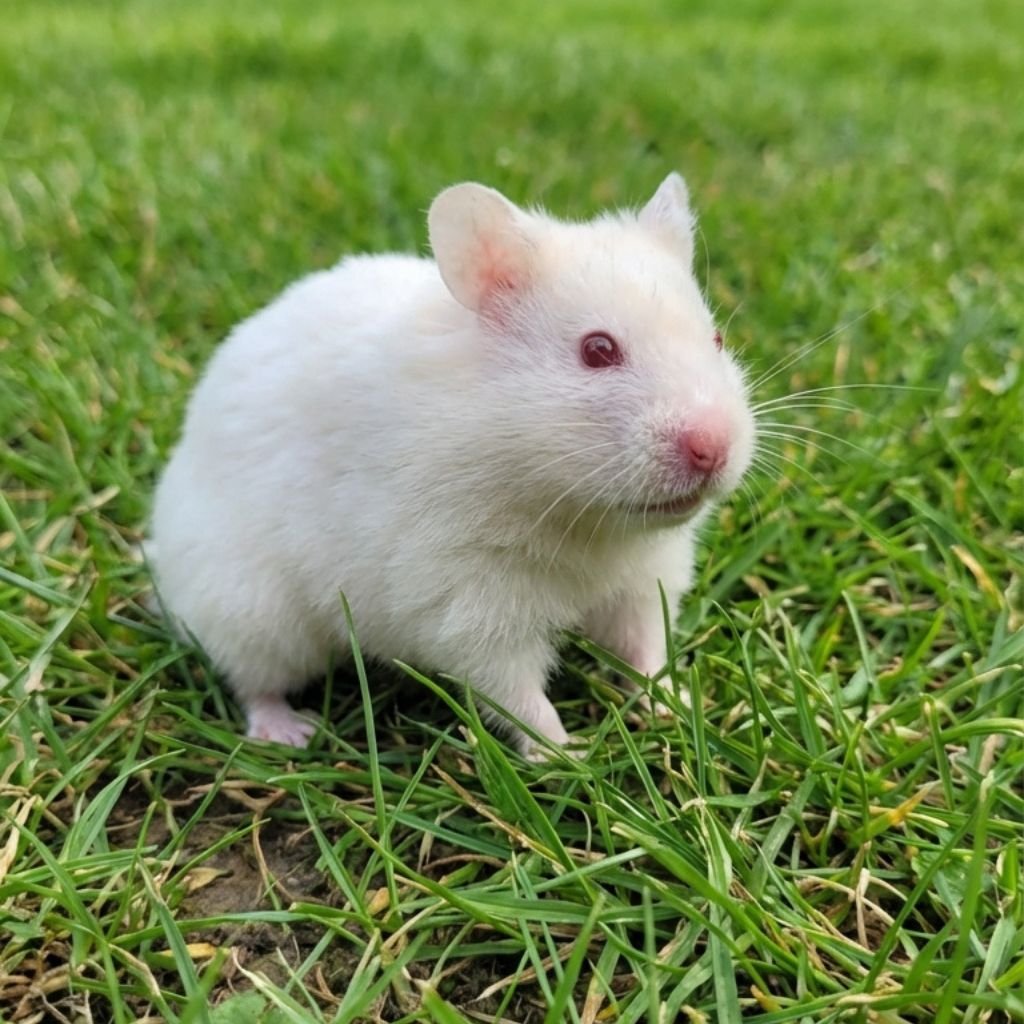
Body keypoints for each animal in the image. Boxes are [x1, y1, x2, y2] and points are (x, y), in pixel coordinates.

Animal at [150, 173, 756, 755]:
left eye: (717, 339)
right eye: (598, 350)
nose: (713, 448)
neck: (580, 517)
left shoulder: (644, 581)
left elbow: (645, 651)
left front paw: (678, 710)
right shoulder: (466, 603)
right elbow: (516, 693)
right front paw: (567, 756)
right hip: (251, 610)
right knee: (250, 681)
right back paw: (290, 733)